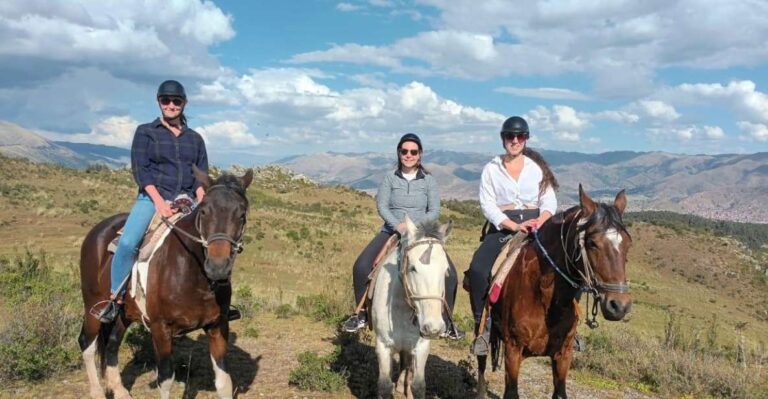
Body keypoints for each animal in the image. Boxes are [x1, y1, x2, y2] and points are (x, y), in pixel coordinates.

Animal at [78, 166, 254, 399]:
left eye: (242, 215)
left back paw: (121, 391)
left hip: (124, 313)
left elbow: (224, 381)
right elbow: (166, 379)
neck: (193, 274)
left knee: (112, 344)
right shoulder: (160, 328)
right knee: (87, 343)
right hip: (92, 307)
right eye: (204, 211)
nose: (217, 267)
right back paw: (98, 392)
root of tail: (97, 230)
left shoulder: (218, 326)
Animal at [370, 217, 450, 398]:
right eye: (413, 268)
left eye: (446, 270)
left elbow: (418, 385)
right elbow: (384, 386)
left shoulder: (421, 347)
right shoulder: (383, 346)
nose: (433, 327)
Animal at [480, 187, 632, 399]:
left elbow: (560, 392)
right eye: (592, 243)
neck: (544, 295)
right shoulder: (513, 350)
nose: (619, 306)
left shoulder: (563, 355)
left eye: (627, 244)